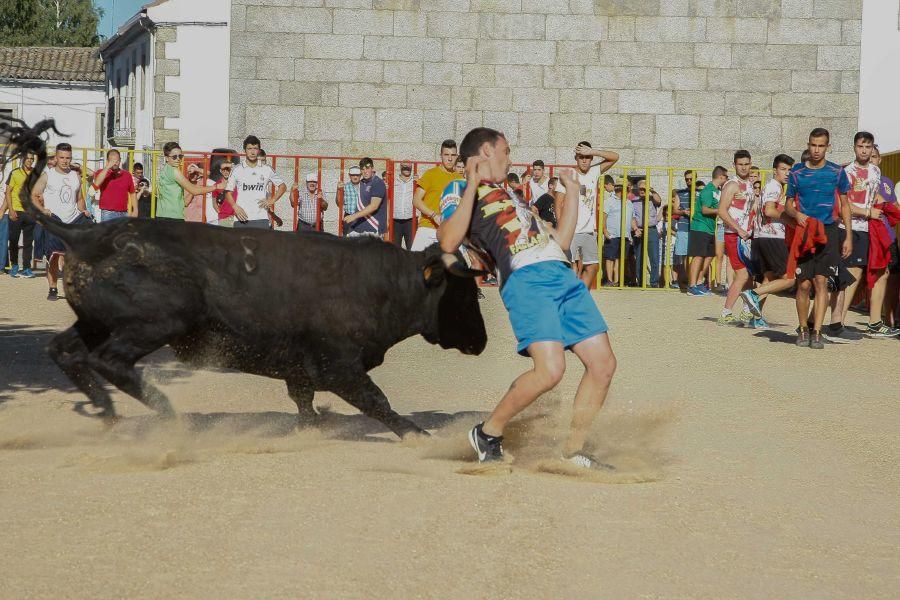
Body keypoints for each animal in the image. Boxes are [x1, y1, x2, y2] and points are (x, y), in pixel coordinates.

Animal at [3, 118, 488, 436]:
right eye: (463, 295)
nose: (482, 341)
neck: (385, 282)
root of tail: (84, 234)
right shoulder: (339, 365)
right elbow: (377, 401)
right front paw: (417, 435)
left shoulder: (302, 368)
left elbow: (305, 403)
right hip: (157, 322)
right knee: (109, 360)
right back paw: (167, 415)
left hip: (95, 320)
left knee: (65, 350)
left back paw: (107, 409)